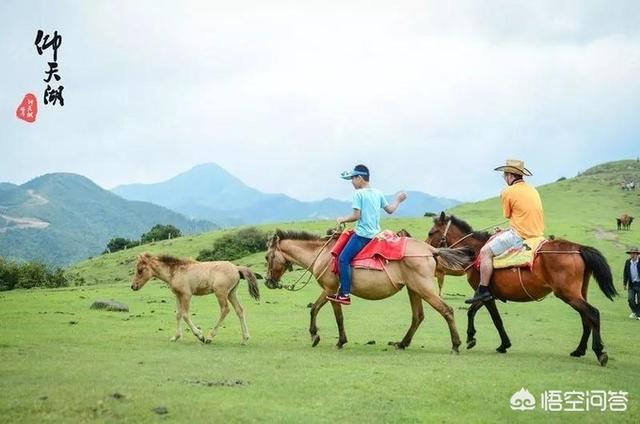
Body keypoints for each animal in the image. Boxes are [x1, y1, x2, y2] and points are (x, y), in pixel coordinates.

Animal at [130, 252, 260, 344]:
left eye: (140, 270)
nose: (133, 286)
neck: (175, 271)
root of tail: (237, 268)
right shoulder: (178, 295)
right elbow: (178, 314)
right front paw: (175, 337)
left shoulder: (186, 295)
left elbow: (185, 315)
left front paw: (199, 335)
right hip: (231, 293)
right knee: (239, 310)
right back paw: (245, 339)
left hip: (221, 293)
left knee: (225, 310)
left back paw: (209, 337)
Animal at [262, 230, 472, 352]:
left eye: (267, 257)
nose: (268, 282)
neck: (321, 254)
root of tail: (430, 250)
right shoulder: (329, 290)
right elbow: (314, 309)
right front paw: (315, 336)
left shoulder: (332, 290)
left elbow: (337, 317)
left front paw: (339, 341)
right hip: (414, 289)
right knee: (418, 316)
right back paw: (402, 343)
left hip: (424, 288)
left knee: (446, 310)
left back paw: (456, 345)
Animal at [424, 214, 616, 366]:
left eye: (431, 232)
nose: (426, 250)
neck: (477, 250)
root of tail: (577, 248)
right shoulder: (487, 296)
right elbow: (472, 311)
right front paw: (472, 337)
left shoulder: (486, 295)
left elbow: (496, 320)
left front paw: (503, 344)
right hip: (578, 293)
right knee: (586, 318)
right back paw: (579, 350)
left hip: (568, 294)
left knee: (593, 314)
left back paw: (599, 351)